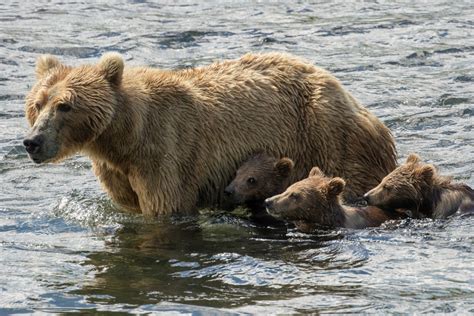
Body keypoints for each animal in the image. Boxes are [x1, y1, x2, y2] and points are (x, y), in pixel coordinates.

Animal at [24, 53, 398, 216]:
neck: (125, 138)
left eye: (65, 105)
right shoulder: (120, 171)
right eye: (37, 103)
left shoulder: (167, 152)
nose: (32, 142)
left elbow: (166, 207)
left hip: (329, 138)